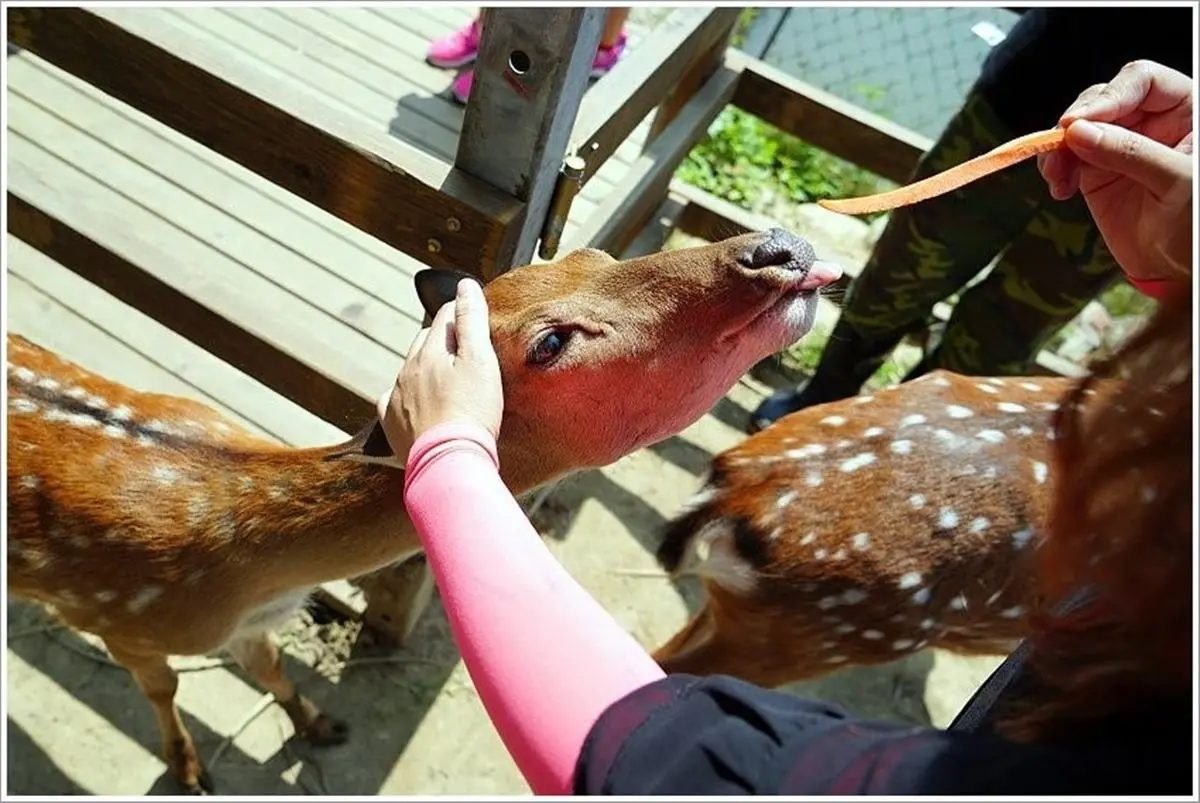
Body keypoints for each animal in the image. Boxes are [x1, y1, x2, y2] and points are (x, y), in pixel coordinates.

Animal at [5, 228, 842, 795]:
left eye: (596, 252)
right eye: (551, 341)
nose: (778, 248)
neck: (245, 571)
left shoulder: (251, 625)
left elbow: (274, 670)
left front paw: (322, 723)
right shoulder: (122, 620)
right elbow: (165, 690)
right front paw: (189, 771)